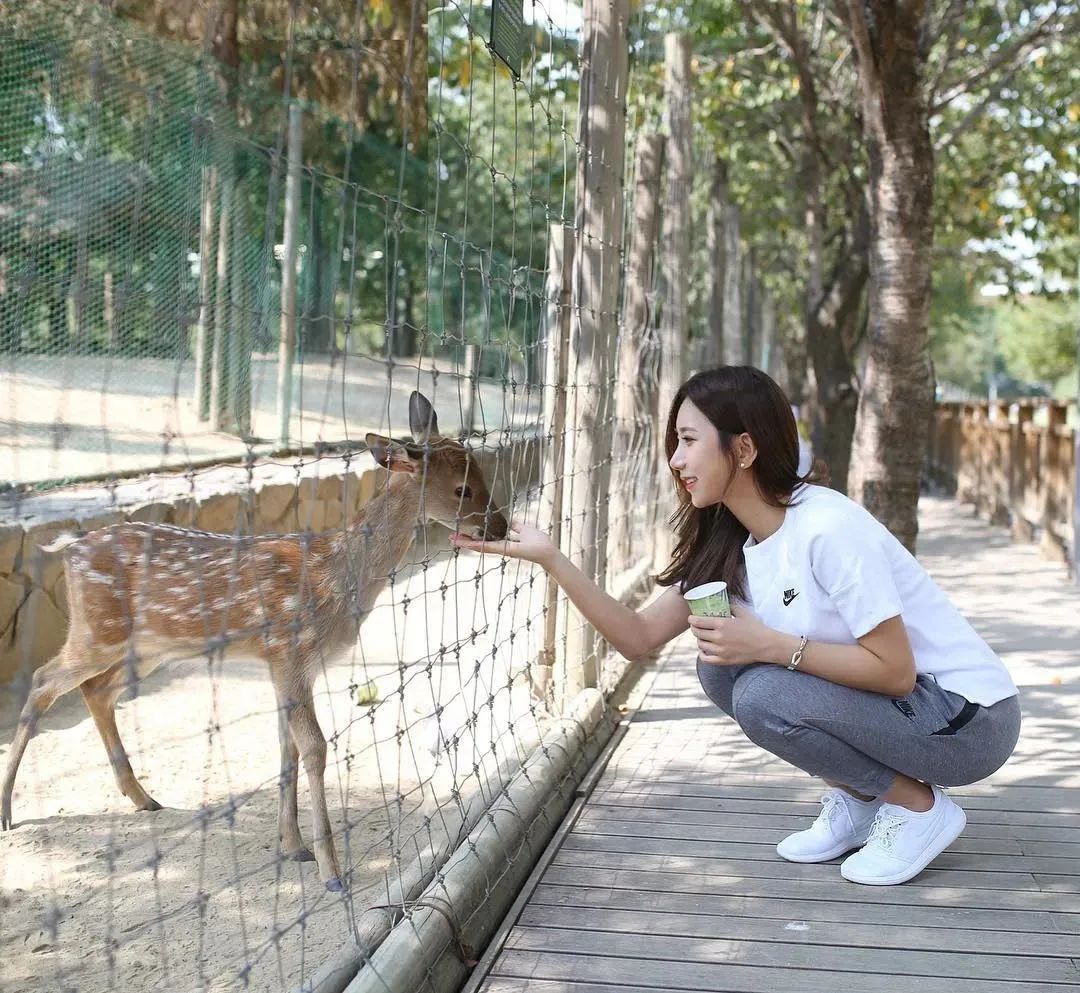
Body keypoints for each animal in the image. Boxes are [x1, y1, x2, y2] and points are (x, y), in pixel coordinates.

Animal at [1, 391, 509, 894]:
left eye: (483, 474)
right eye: (463, 488)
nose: (501, 527)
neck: (335, 576)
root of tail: (69, 548)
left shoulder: (289, 667)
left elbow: (288, 747)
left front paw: (294, 846)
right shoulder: (290, 650)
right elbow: (314, 747)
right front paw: (331, 871)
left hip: (146, 648)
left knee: (97, 691)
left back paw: (144, 798)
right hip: (97, 632)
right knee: (45, 680)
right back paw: (8, 810)